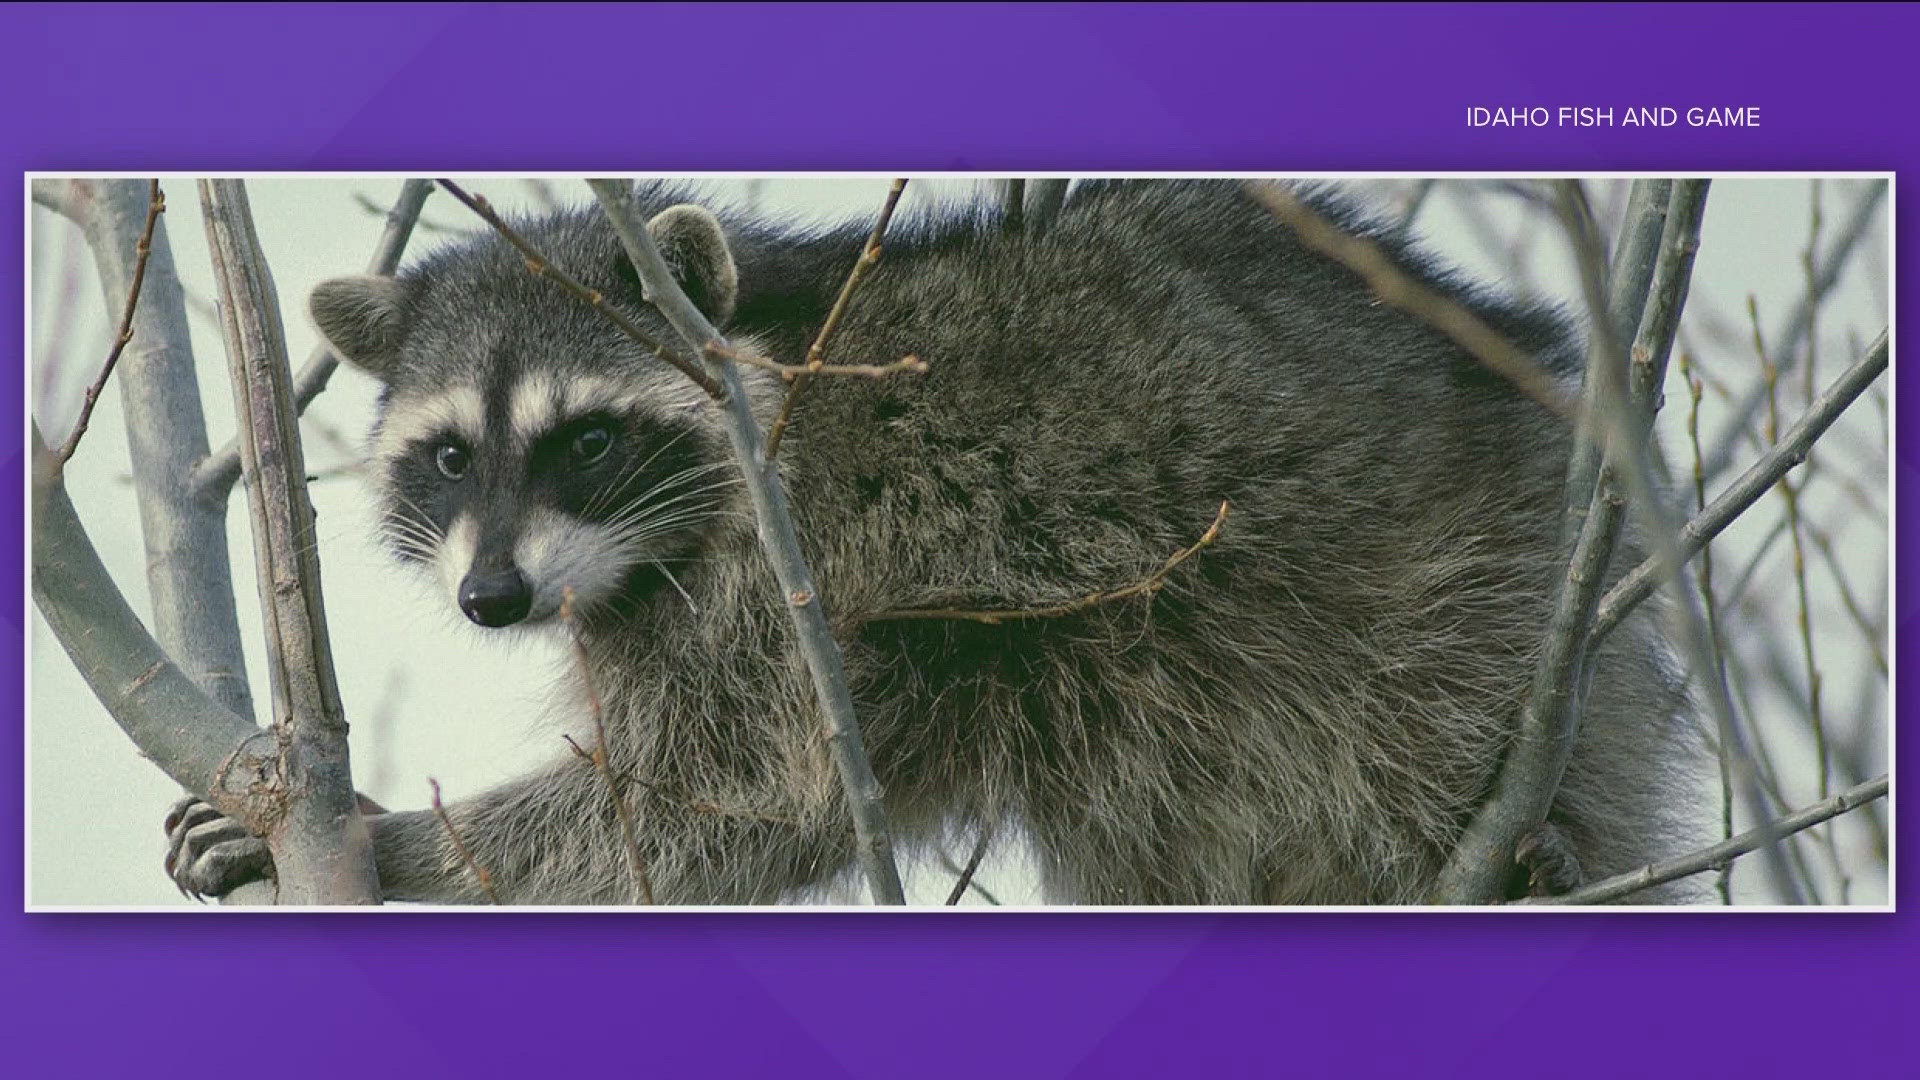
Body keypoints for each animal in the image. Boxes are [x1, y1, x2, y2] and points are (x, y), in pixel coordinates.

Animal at [168, 182, 1712, 899]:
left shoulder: (806, 570)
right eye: (446, 457)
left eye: (586, 442)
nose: (493, 598)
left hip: (1457, 589)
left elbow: (714, 802)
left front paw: (403, 846)